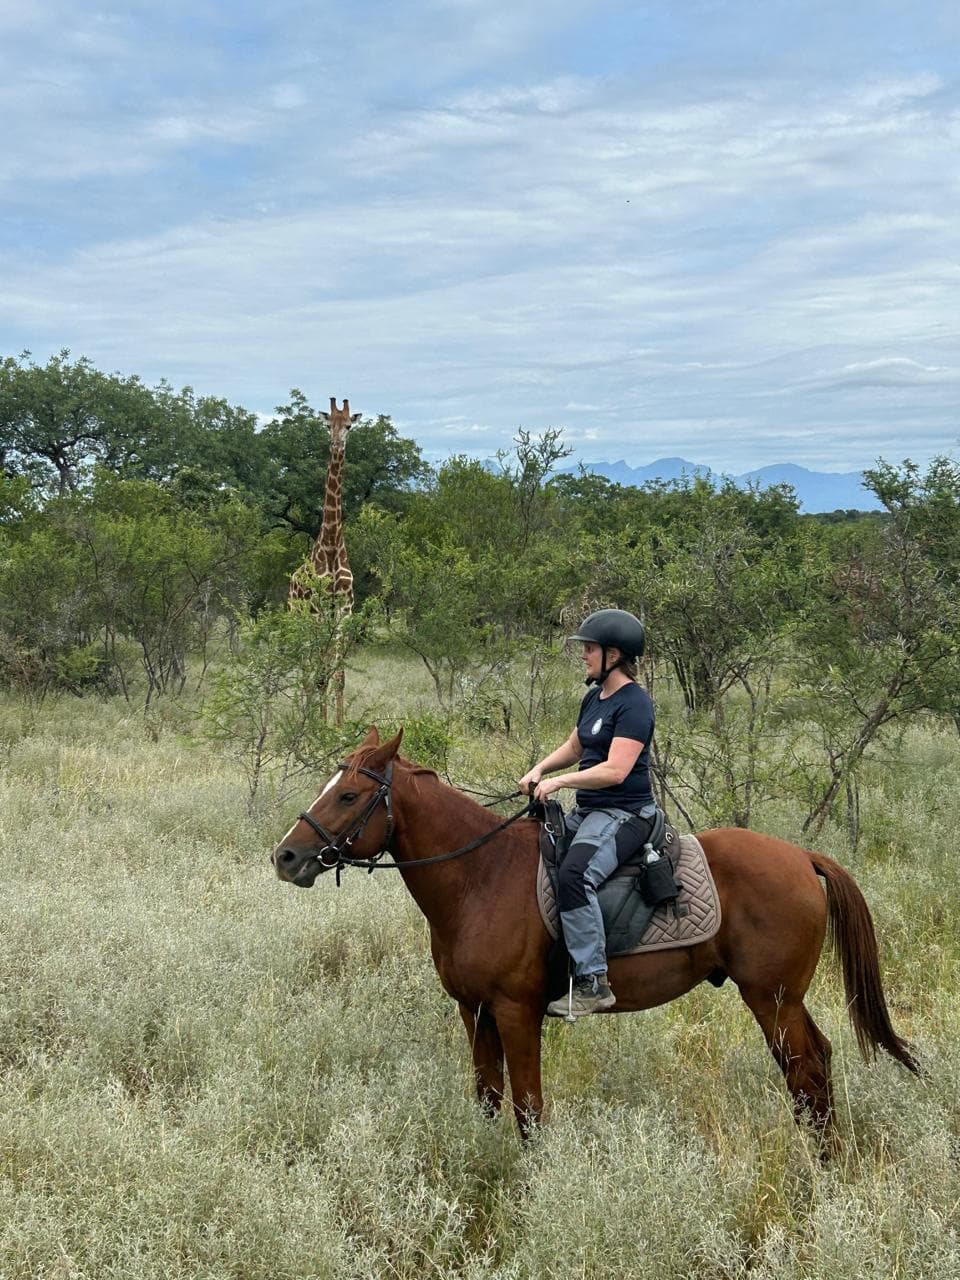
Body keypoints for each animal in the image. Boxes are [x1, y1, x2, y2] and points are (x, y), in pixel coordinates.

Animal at [271, 727, 919, 1141]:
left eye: (348, 794)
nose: (285, 857)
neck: (479, 877)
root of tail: (802, 857)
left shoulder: (515, 1011)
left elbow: (529, 1110)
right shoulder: (473, 1011)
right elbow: (488, 1101)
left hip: (772, 999)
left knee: (804, 1072)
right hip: (785, 998)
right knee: (818, 1068)